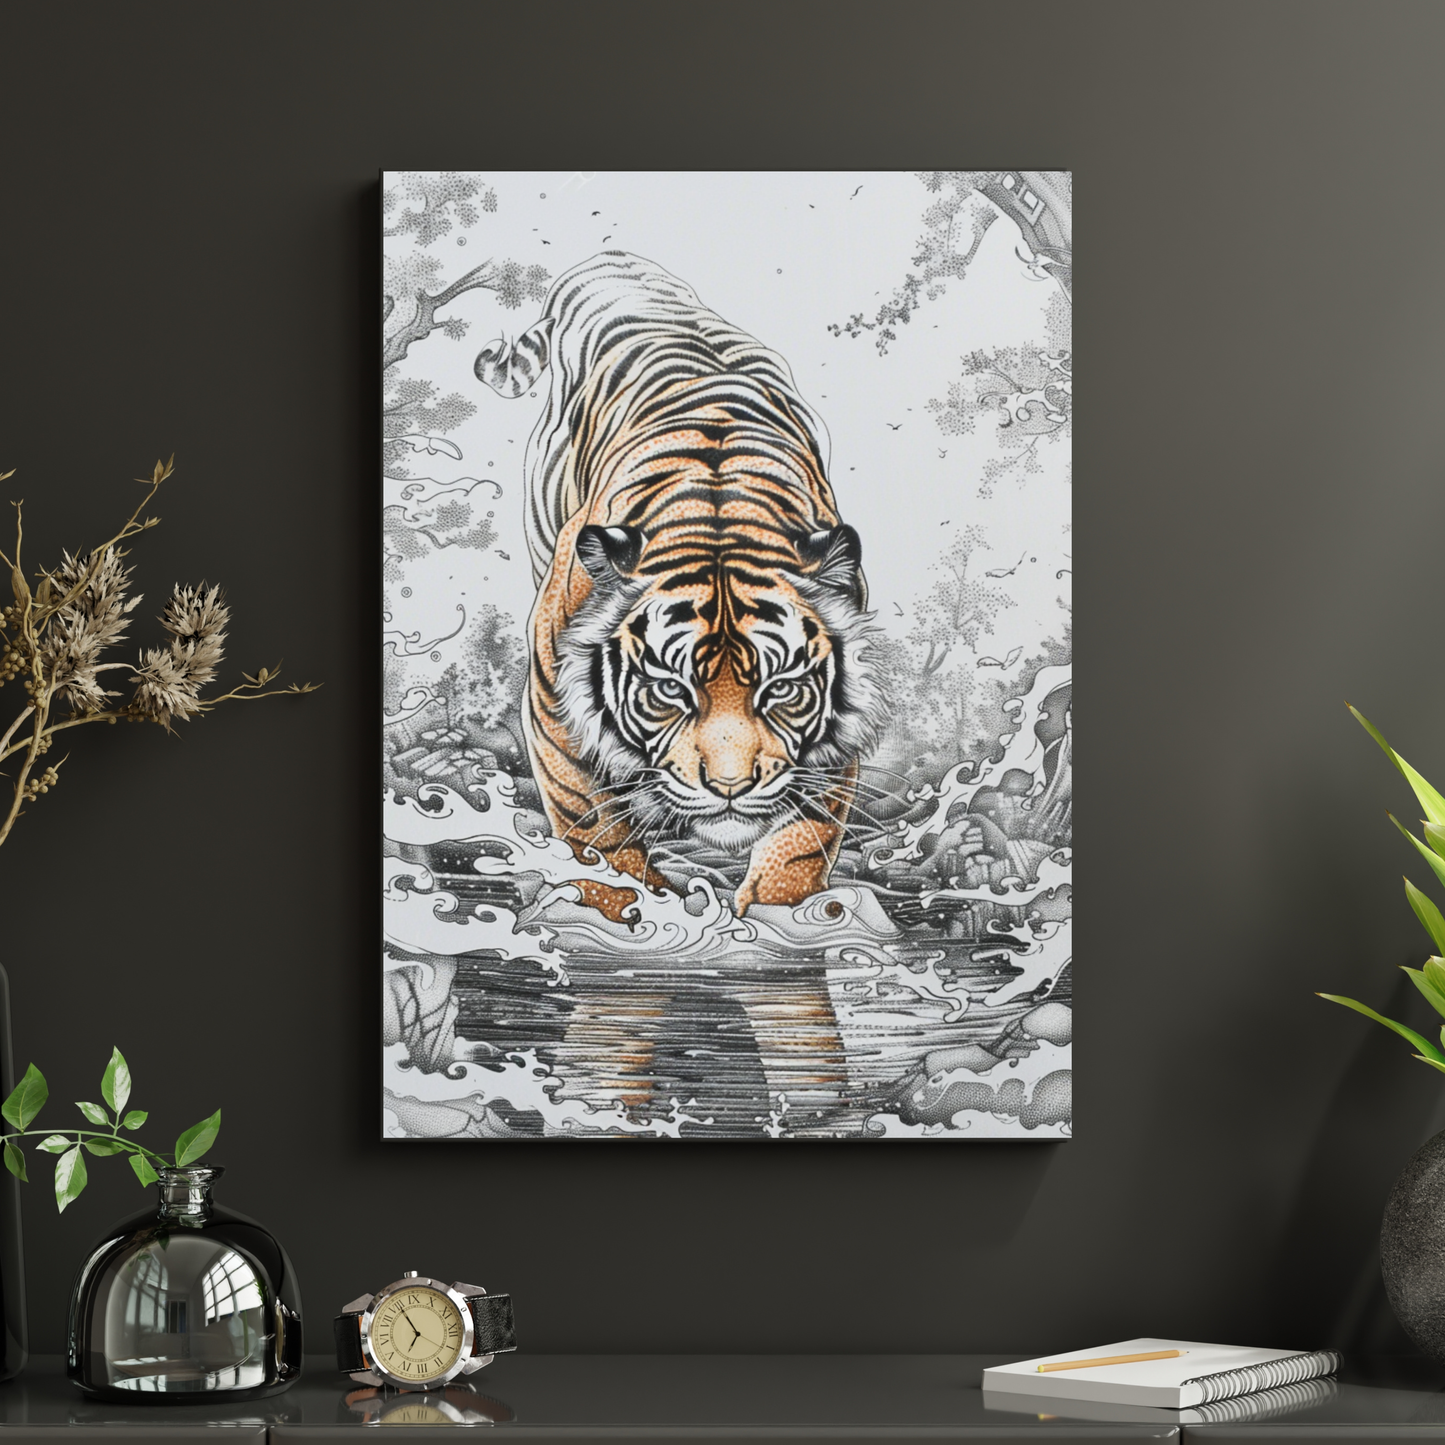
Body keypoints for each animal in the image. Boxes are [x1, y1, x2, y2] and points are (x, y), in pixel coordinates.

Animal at [475, 252, 887, 914]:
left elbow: (801, 843)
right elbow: (597, 838)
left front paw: (781, 918)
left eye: (782, 689)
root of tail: (607, 260)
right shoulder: (555, 709)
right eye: (669, 689)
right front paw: (627, 914)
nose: (729, 786)